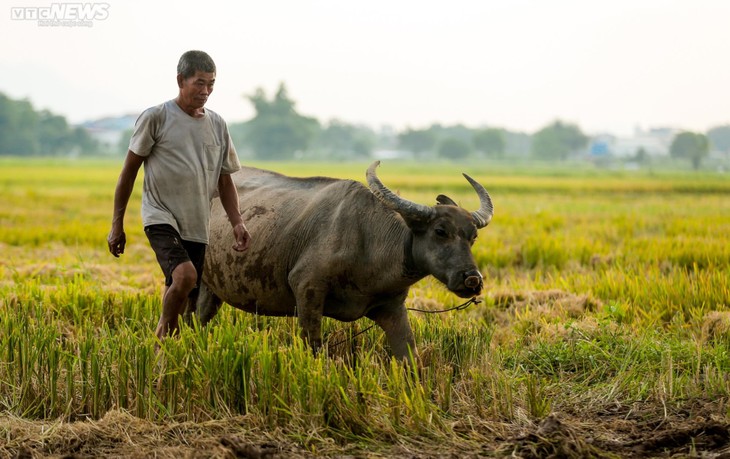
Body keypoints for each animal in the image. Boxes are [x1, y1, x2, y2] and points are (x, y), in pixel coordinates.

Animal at [188, 160, 494, 362]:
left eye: (473, 236)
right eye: (440, 231)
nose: (472, 279)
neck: (368, 242)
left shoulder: (392, 308)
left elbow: (411, 358)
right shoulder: (307, 291)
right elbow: (314, 348)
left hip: (210, 290)